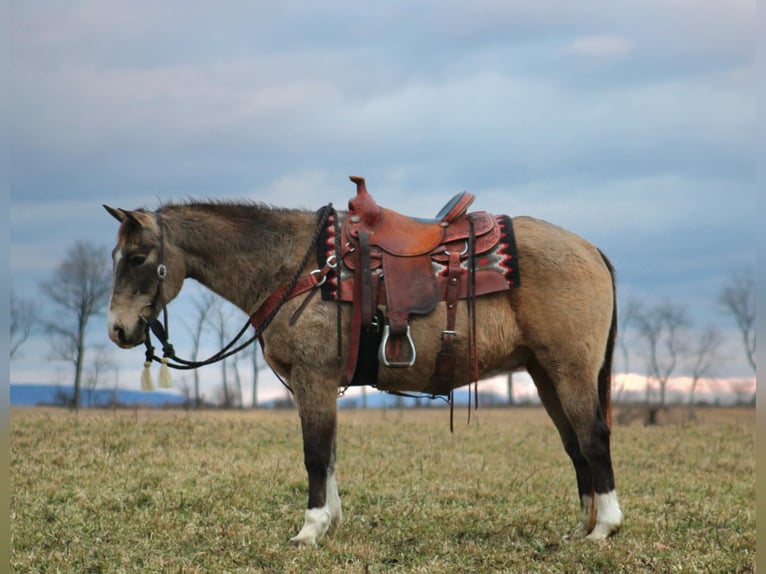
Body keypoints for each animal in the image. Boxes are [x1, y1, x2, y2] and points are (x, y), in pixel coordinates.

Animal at [105, 177, 628, 548]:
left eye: (137, 258)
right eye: (116, 256)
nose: (117, 330)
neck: (302, 268)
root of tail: (590, 250)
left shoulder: (314, 379)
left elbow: (316, 454)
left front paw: (311, 528)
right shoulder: (314, 385)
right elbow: (330, 454)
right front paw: (330, 522)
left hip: (570, 371)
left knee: (593, 437)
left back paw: (606, 527)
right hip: (545, 374)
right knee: (575, 445)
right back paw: (582, 527)